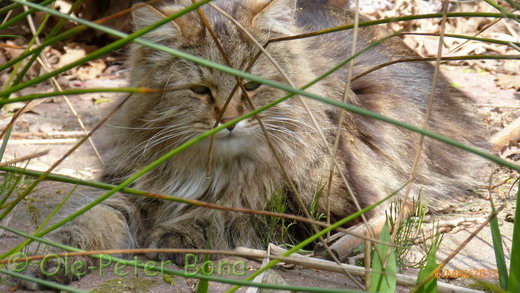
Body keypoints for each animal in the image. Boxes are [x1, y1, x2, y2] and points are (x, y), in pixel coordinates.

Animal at [17, 0, 488, 288]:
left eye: (251, 85)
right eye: (201, 90)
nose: (230, 121)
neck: (211, 166)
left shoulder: (303, 209)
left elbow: (228, 216)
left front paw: (174, 236)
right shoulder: (128, 188)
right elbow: (87, 222)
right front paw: (45, 257)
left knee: (402, 206)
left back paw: (346, 245)